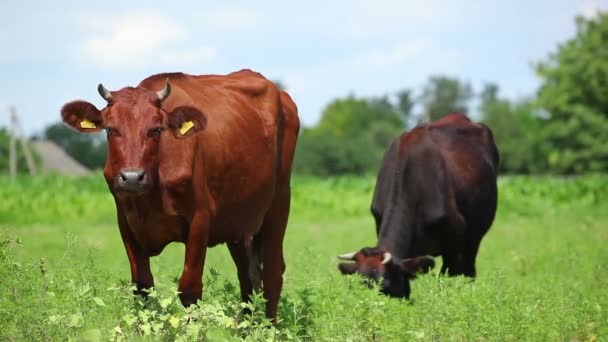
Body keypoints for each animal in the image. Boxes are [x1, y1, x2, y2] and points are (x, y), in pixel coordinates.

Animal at [60, 70, 300, 324]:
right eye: (110, 129)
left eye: (156, 129)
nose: (132, 177)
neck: (151, 199)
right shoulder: (126, 222)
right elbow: (142, 287)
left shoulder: (200, 220)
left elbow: (190, 288)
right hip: (238, 222)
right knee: (248, 277)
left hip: (279, 203)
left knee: (273, 272)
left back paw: (269, 327)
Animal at [338, 113, 498, 298]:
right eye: (357, 285)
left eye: (384, 284)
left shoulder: (456, 243)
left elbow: (450, 276)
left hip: (474, 236)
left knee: (469, 271)